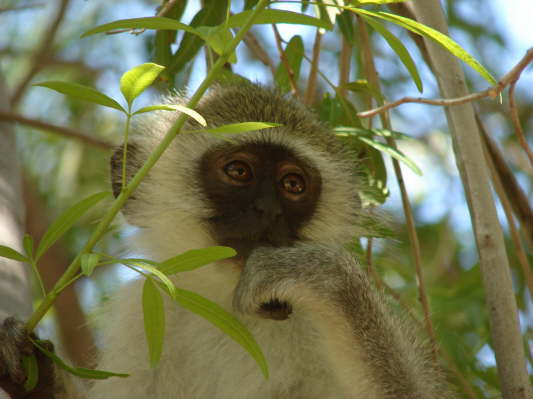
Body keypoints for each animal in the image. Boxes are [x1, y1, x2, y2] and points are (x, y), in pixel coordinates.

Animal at [2, 83, 456, 398]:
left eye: (292, 184)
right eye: (239, 171)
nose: (268, 210)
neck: (226, 307)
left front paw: (321, 276)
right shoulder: (142, 315)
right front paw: (36, 373)